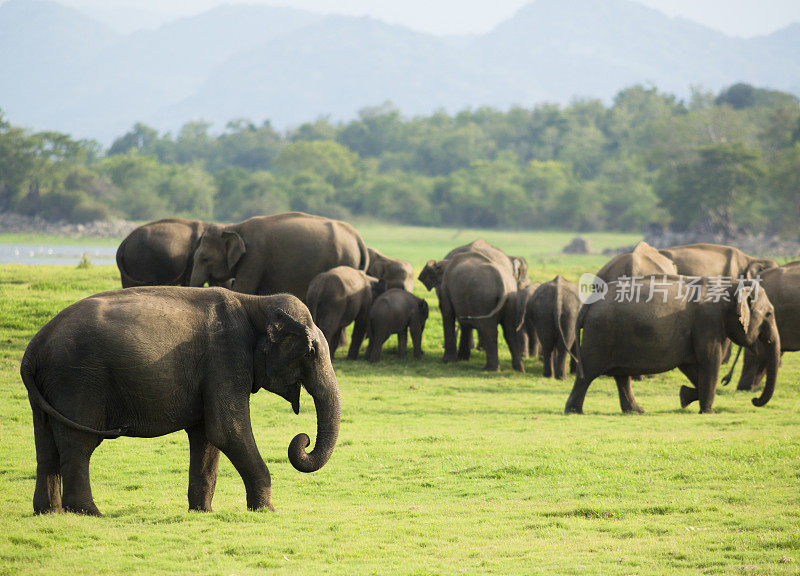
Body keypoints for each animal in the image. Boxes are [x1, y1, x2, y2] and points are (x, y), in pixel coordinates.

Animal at [21, 288, 340, 516]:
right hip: (78, 380)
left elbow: (207, 437)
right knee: (79, 444)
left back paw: (48, 512)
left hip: (50, 389)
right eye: (311, 351)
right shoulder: (226, 359)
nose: (303, 439)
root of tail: (34, 346)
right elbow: (228, 431)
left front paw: (202, 512)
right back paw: (88, 512)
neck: (255, 301)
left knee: (46, 446)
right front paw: (267, 511)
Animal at [191, 212, 368, 296]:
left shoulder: (255, 255)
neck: (234, 226)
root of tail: (358, 238)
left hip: (344, 258)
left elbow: (243, 288)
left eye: (205, 259)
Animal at [564, 276, 780, 414]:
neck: (732, 285)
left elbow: (692, 367)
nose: (754, 400)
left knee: (621, 376)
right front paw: (707, 411)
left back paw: (637, 411)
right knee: (588, 373)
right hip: (600, 335)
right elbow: (710, 362)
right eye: (769, 314)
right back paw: (574, 411)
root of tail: (588, 304)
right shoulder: (707, 323)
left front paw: (685, 396)